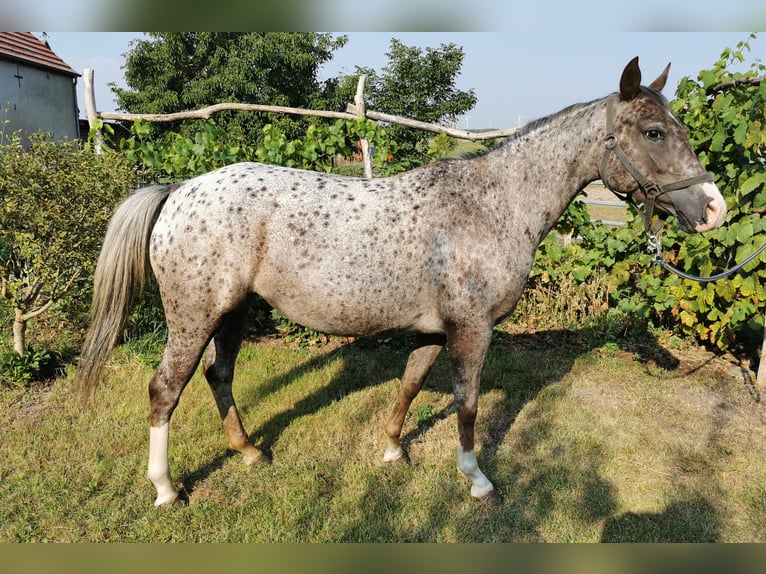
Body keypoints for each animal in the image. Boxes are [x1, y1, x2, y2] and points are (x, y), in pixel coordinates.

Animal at [78, 58, 728, 508]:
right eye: (653, 132)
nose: (714, 208)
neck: (490, 205)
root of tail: (178, 192)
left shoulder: (435, 330)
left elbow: (411, 386)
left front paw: (393, 450)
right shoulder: (472, 330)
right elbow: (467, 406)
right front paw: (477, 481)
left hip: (232, 313)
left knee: (219, 376)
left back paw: (250, 453)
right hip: (194, 317)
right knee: (165, 390)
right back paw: (166, 489)